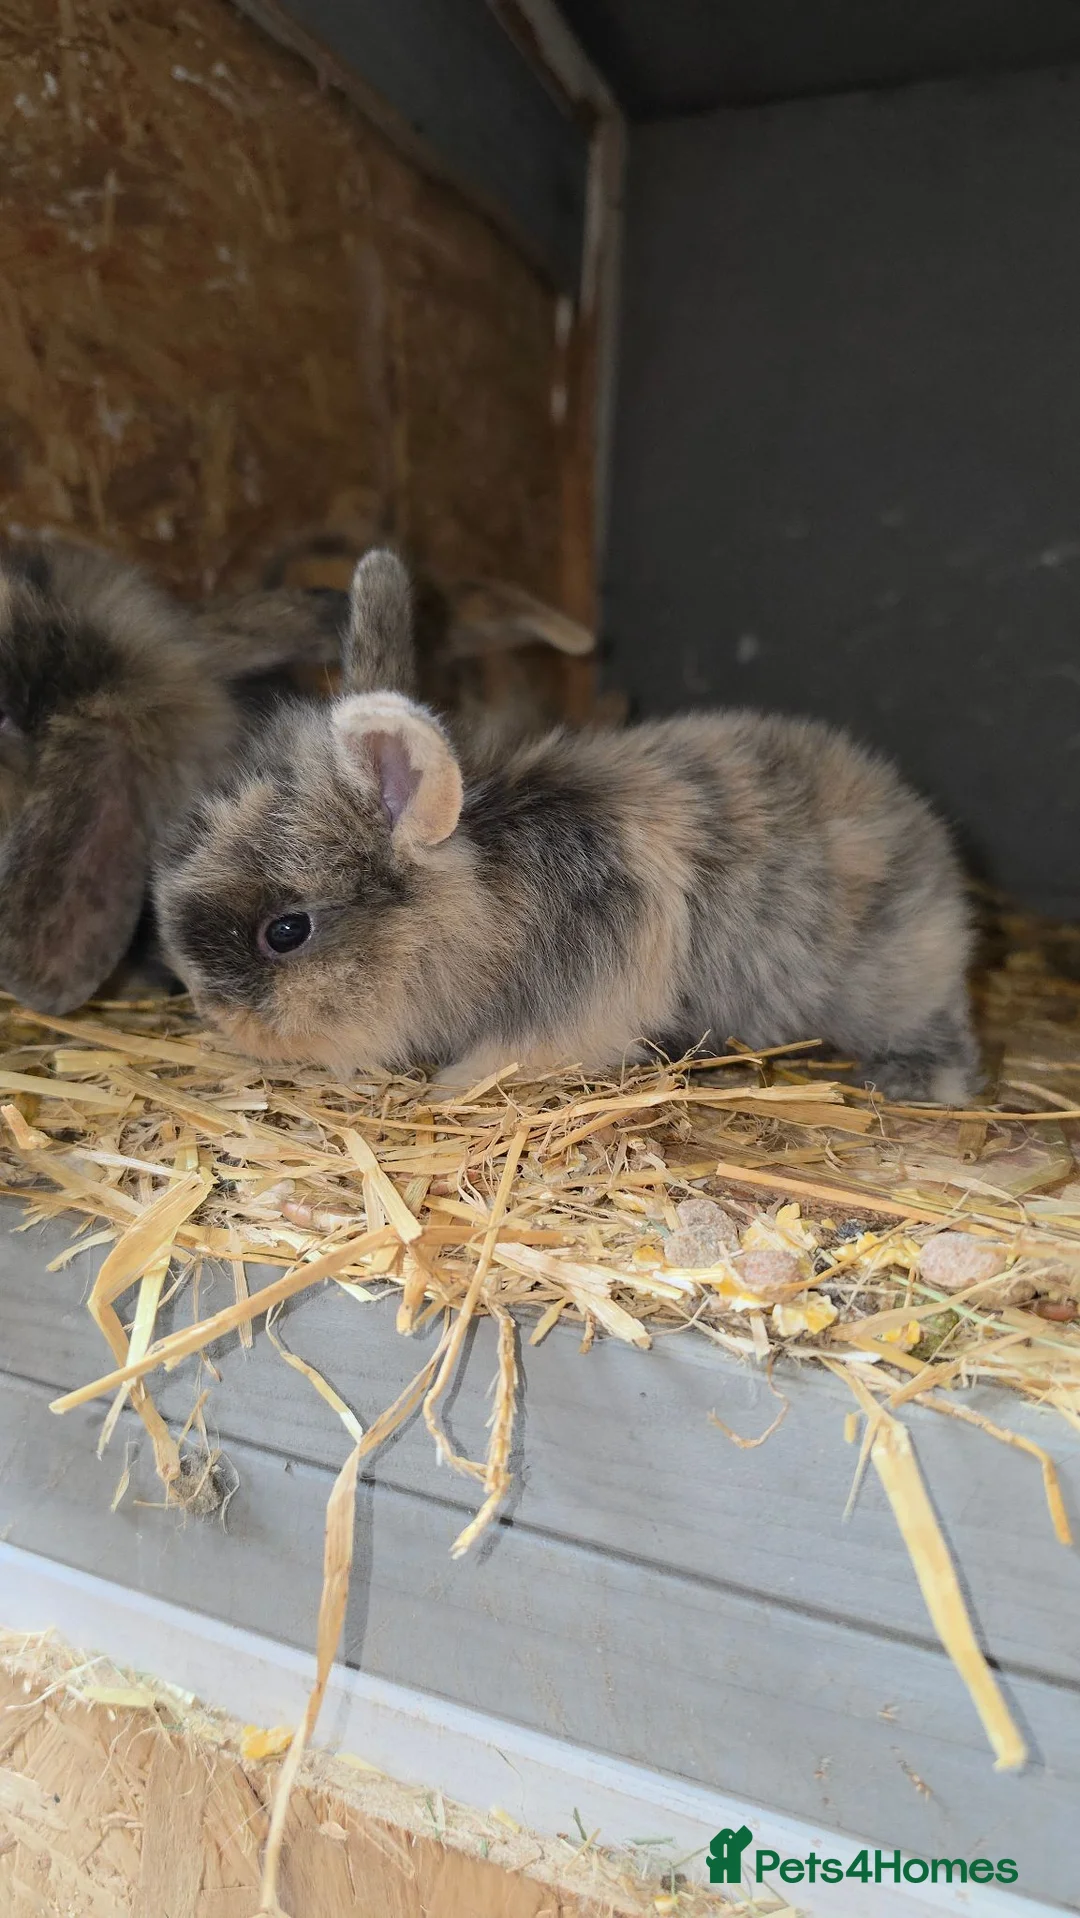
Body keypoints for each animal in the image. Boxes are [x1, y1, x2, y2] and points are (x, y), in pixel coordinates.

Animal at [153, 550, 979, 1104]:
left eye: (286, 931)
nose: (212, 1013)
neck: (493, 899)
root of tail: (928, 836)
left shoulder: (573, 1006)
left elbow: (509, 1056)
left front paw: (446, 1091)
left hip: (893, 983)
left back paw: (912, 1080)